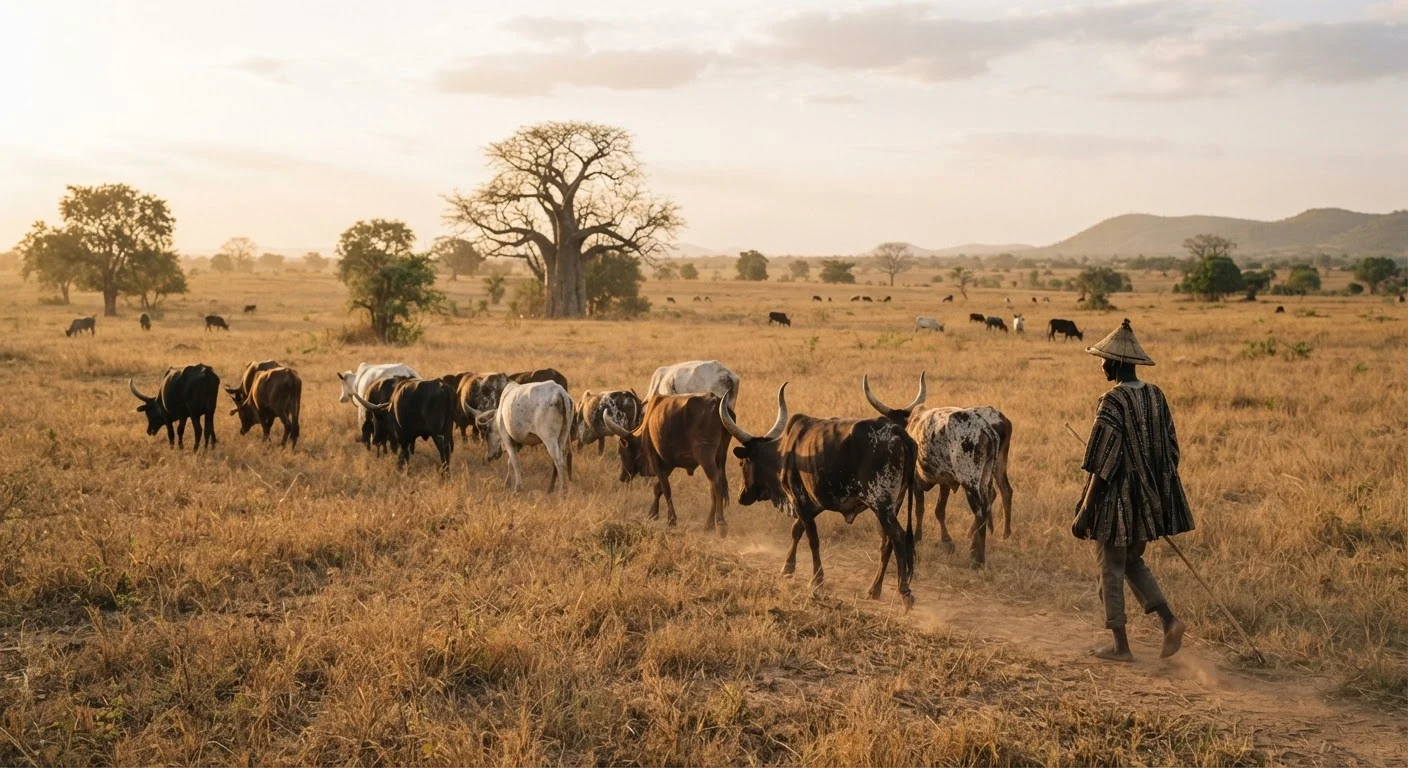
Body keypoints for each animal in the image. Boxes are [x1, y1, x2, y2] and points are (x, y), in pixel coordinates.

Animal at [603, 393, 732, 536]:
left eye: (621, 451)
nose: (622, 477)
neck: (647, 426)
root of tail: (716, 401)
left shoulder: (656, 462)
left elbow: (665, 489)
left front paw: (671, 520)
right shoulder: (668, 464)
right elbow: (658, 488)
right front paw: (652, 514)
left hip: (705, 456)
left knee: (716, 483)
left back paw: (720, 523)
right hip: (719, 457)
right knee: (715, 486)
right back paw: (709, 524)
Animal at [719, 385, 919, 609]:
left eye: (742, 463)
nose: (741, 497)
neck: (785, 451)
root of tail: (896, 431)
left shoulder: (799, 500)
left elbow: (812, 538)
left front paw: (817, 580)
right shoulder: (812, 503)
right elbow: (797, 530)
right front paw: (788, 568)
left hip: (881, 503)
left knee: (898, 536)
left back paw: (904, 592)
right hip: (894, 503)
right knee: (887, 542)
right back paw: (874, 589)